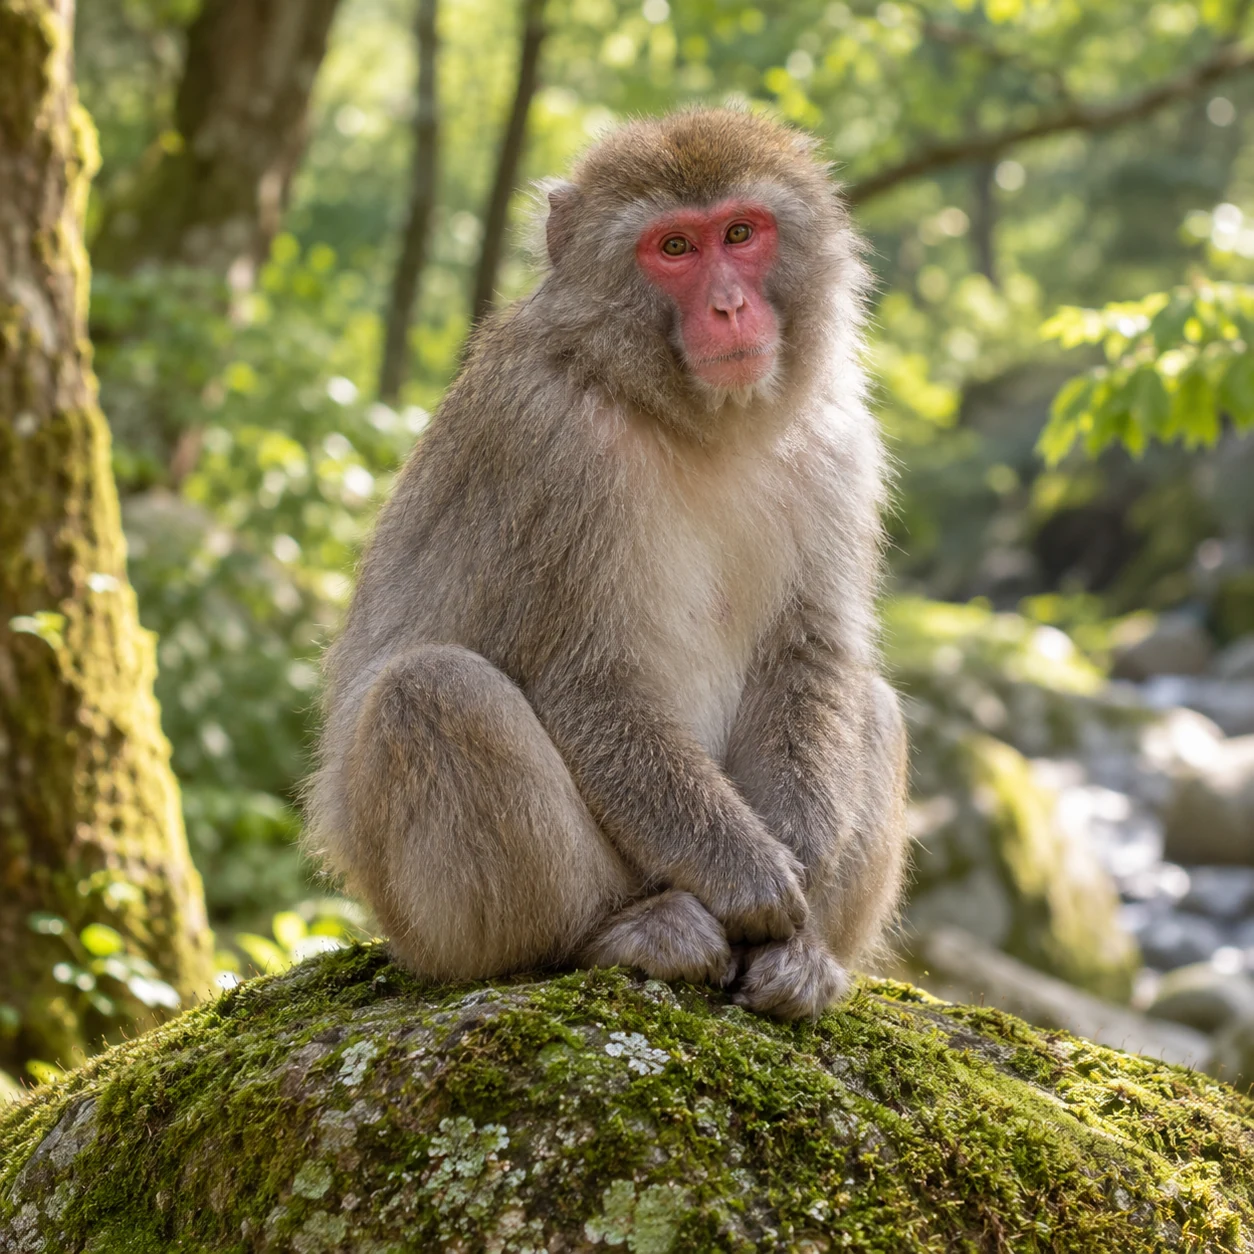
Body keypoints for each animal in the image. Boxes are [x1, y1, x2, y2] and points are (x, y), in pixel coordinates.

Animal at [305, 108, 909, 1020]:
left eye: (740, 233)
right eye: (675, 248)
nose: (730, 306)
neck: (693, 421)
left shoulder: (840, 440)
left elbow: (812, 653)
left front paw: (795, 878)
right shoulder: (550, 443)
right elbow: (585, 679)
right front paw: (751, 876)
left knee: (873, 701)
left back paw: (807, 959)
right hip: (426, 923)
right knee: (433, 690)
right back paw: (615, 932)